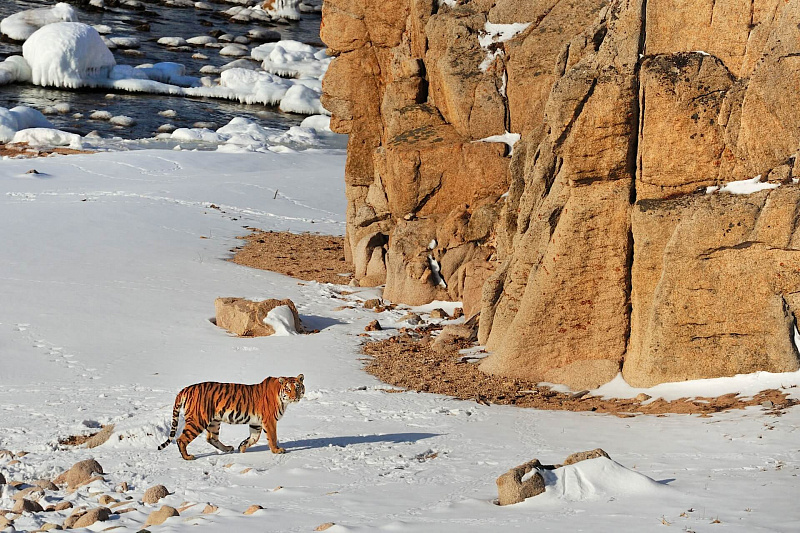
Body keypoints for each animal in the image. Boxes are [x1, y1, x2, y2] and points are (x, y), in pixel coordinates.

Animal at [157, 374, 304, 461]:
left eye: (297, 387)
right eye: (288, 389)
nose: (295, 397)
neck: (282, 399)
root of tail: (186, 389)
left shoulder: (256, 422)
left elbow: (254, 438)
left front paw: (242, 447)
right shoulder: (270, 421)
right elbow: (272, 437)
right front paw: (277, 450)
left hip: (214, 422)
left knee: (211, 438)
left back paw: (228, 448)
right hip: (197, 420)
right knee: (181, 439)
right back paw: (188, 457)